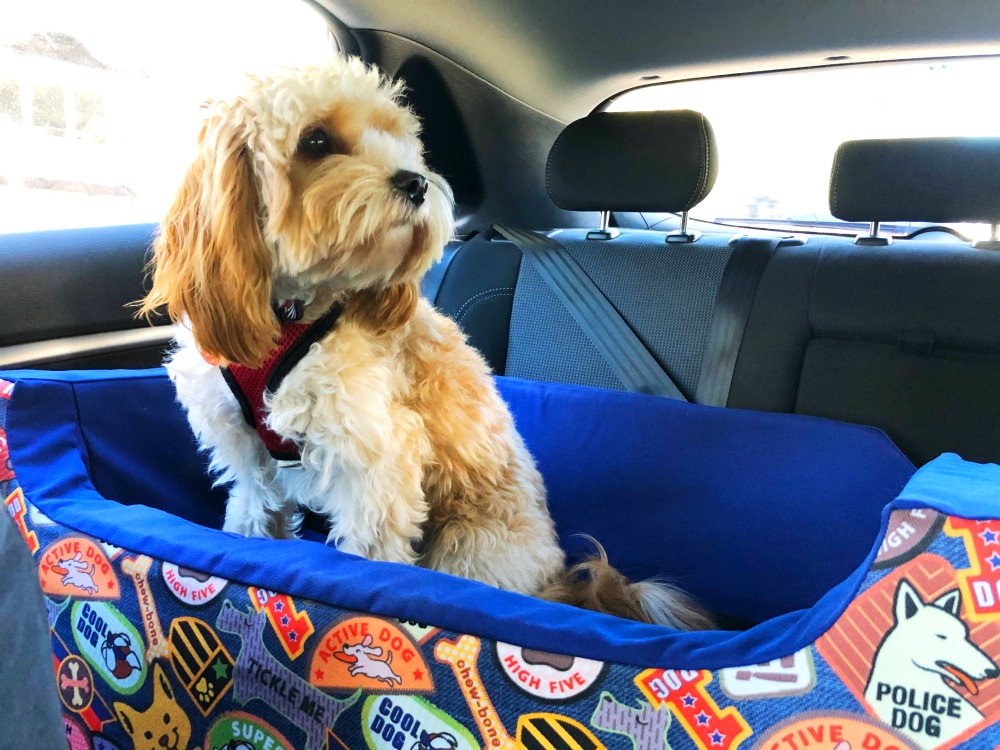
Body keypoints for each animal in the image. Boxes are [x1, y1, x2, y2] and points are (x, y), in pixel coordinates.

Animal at [143, 58, 712, 632]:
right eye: (315, 140)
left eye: (398, 139)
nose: (415, 182)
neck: (293, 317)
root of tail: (554, 584)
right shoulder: (251, 458)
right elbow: (251, 515)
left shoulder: (375, 459)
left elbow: (368, 554)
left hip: (467, 545)